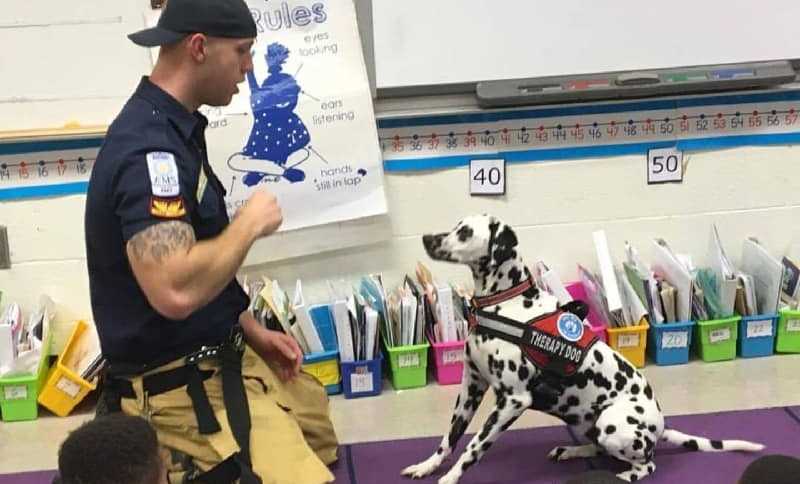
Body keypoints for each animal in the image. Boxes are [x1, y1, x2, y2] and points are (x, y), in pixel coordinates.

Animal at [404, 216, 764, 484]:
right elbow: (449, 439)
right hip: (584, 421)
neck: (507, 303)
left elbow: (473, 447)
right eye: (455, 224)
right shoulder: (471, 388)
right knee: (597, 449)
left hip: (612, 424)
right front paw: (427, 466)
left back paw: (622, 475)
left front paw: (450, 477)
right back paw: (571, 451)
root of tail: (660, 427)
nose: (426, 239)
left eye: (465, 232)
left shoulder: (512, 401)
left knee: (646, 465)